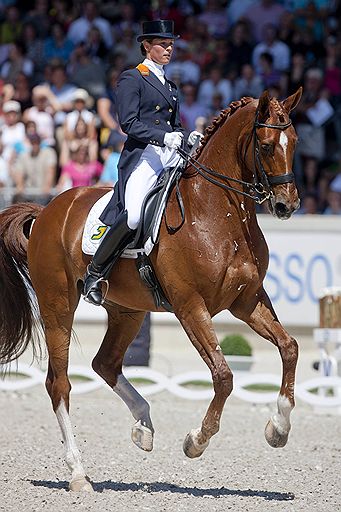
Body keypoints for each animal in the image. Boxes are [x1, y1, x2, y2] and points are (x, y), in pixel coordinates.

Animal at [0, 89, 300, 492]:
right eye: (266, 146)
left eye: (294, 142)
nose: (287, 205)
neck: (218, 212)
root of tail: (48, 209)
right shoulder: (190, 306)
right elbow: (223, 375)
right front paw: (196, 441)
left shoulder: (247, 301)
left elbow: (289, 347)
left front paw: (278, 429)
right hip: (57, 306)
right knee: (58, 383)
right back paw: (79, 473)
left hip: (127, 310)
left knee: (105, 363)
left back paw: (143, 427)